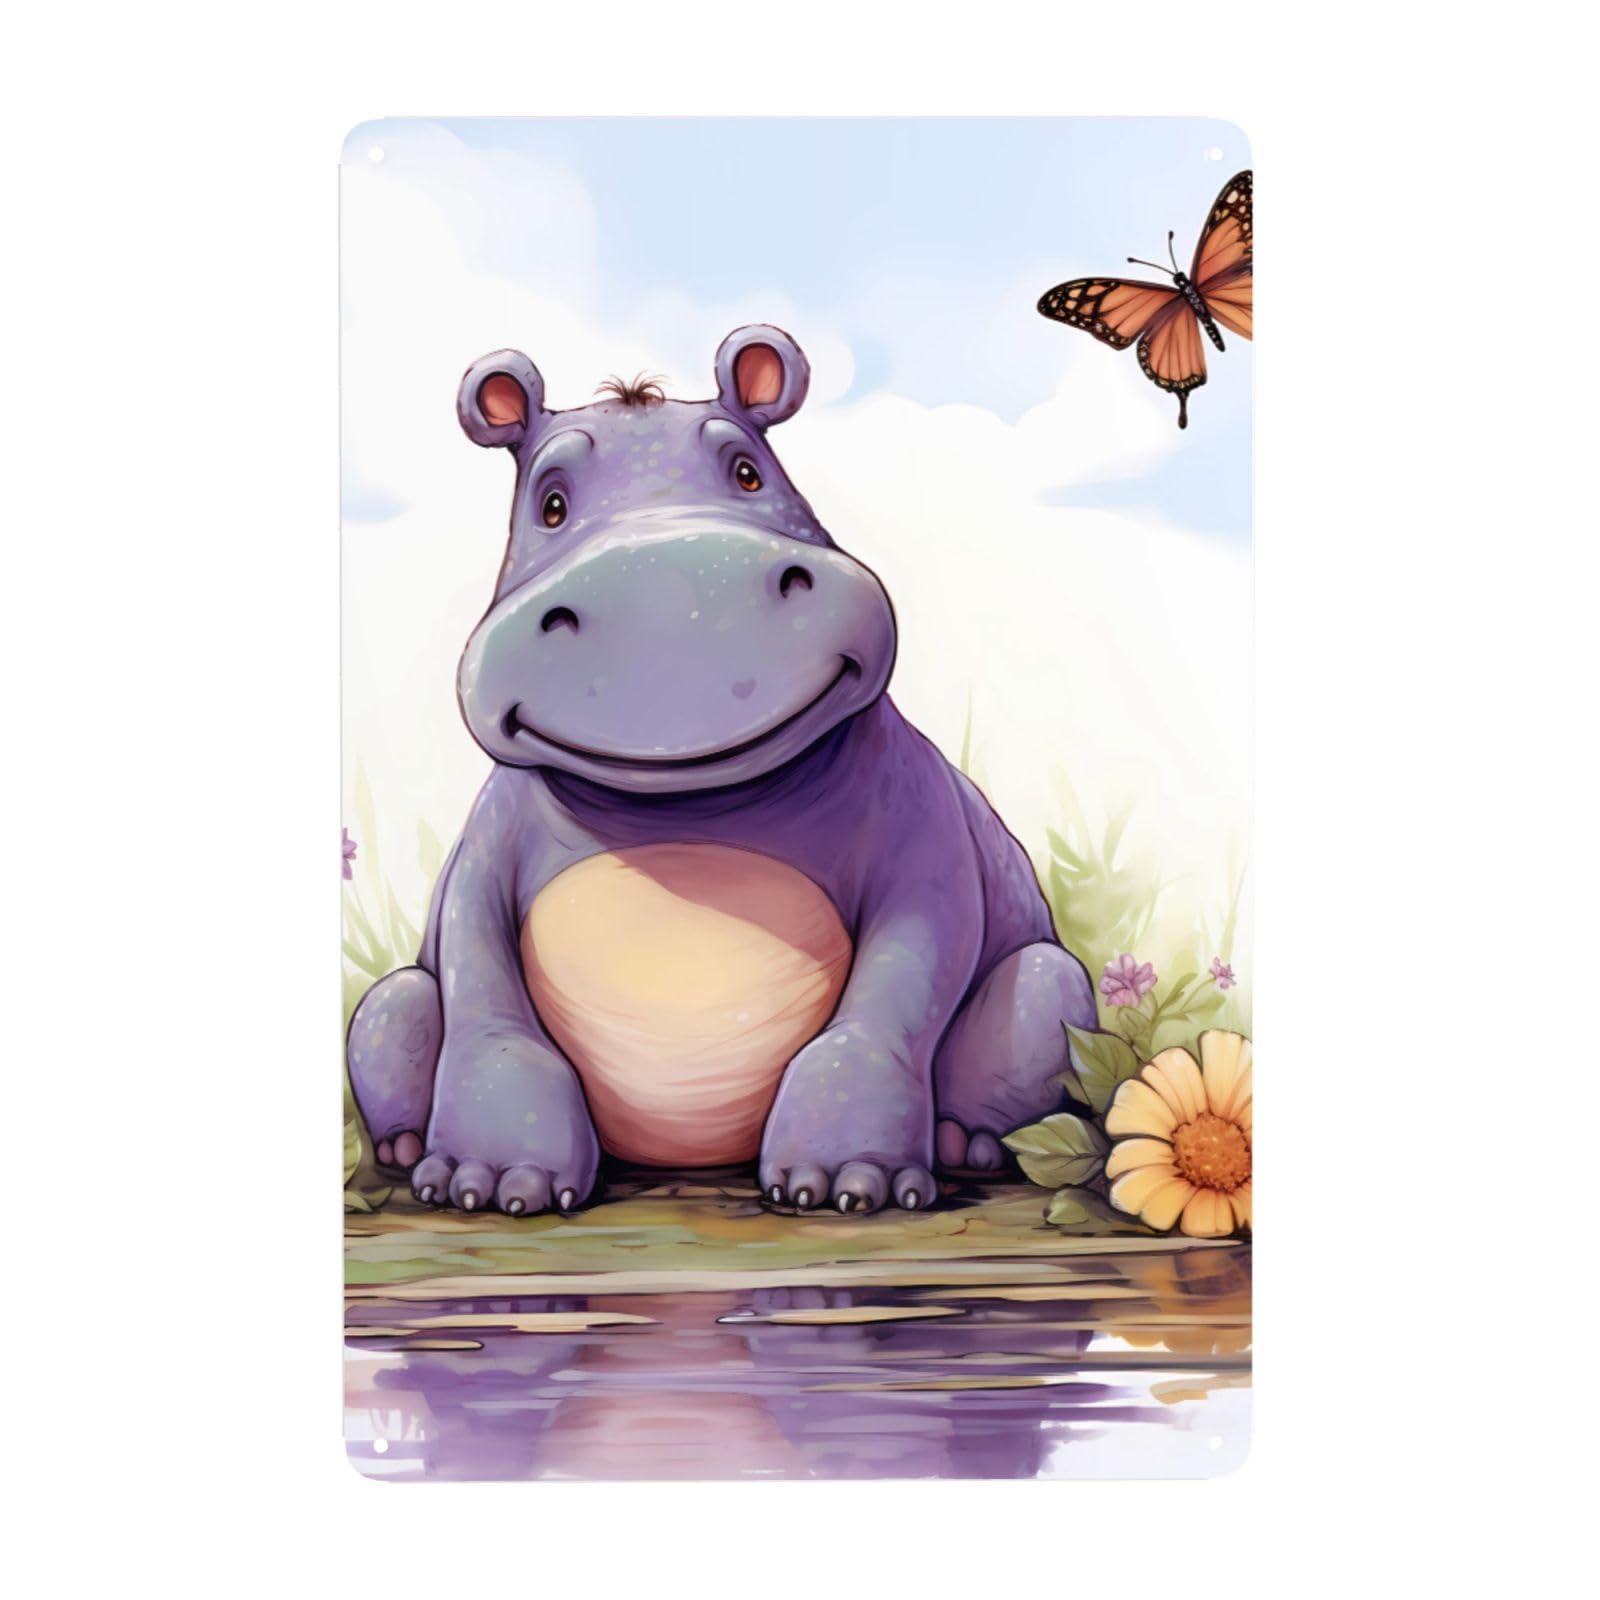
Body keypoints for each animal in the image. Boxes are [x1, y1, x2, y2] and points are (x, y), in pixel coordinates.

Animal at [347, 324, 1097, 1216]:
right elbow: (483, 993)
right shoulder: (489, 842)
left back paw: (967, 1147)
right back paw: (400, 1151)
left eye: (748, 469)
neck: (688, 802)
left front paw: (844, 1188)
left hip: (1053, 982)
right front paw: (489, 1187)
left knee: (1043, 993)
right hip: (387, 1004)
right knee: (393, 1007)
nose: (668, 581)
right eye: (549, 503)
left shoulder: (922, 822)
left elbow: (899, 989)